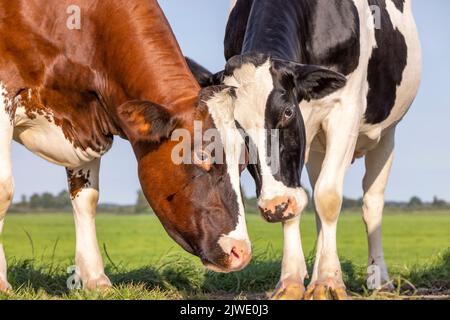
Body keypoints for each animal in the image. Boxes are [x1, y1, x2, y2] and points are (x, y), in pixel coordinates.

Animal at [0, 0, 251, 290]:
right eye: (201, 156)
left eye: (243, 163)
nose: (241, 252)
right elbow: (4, 189)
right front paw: (2, 282)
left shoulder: (85, 123)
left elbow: (87, 198)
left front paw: (95, 278)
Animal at [190, 0, 422, 300]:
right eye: (236, 127)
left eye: (287, 112)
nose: (274, 206)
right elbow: (300, 205)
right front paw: (293, 281)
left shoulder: (345, 108)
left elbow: (328, 197)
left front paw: (329, 282)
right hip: (315, 147)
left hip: (385, 134)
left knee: (371, 202)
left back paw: (379, 280)